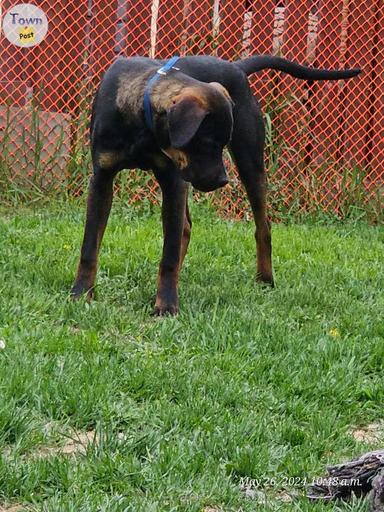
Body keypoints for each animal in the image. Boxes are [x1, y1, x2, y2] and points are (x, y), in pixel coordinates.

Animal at [70, 54, 362, 314]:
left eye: (222, 143)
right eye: (207, 142)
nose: (222, 180)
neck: (141, 117)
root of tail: (236, 67)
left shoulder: (174, 181)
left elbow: (168, 255)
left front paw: (166, 305)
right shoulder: (102, 179)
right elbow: (89, 247)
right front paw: (81, 292)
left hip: (249, 162)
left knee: (262, 226)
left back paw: (265, 278)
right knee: (185, 228)